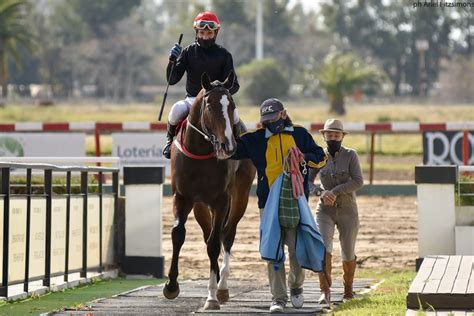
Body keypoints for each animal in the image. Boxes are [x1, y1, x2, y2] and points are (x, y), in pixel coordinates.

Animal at [164, 71, 260, 308]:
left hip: (240, 196)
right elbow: (178, 234)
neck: (200, 151)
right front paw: (171, 285)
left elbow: (216, 243)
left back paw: (222, 285)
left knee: (227, 234)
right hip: (200, 206)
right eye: (209, 106)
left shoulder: (221, 200)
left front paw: (212, 296)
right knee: (209, 234)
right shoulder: (183, 197)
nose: (228, 146)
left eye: (231, 105)